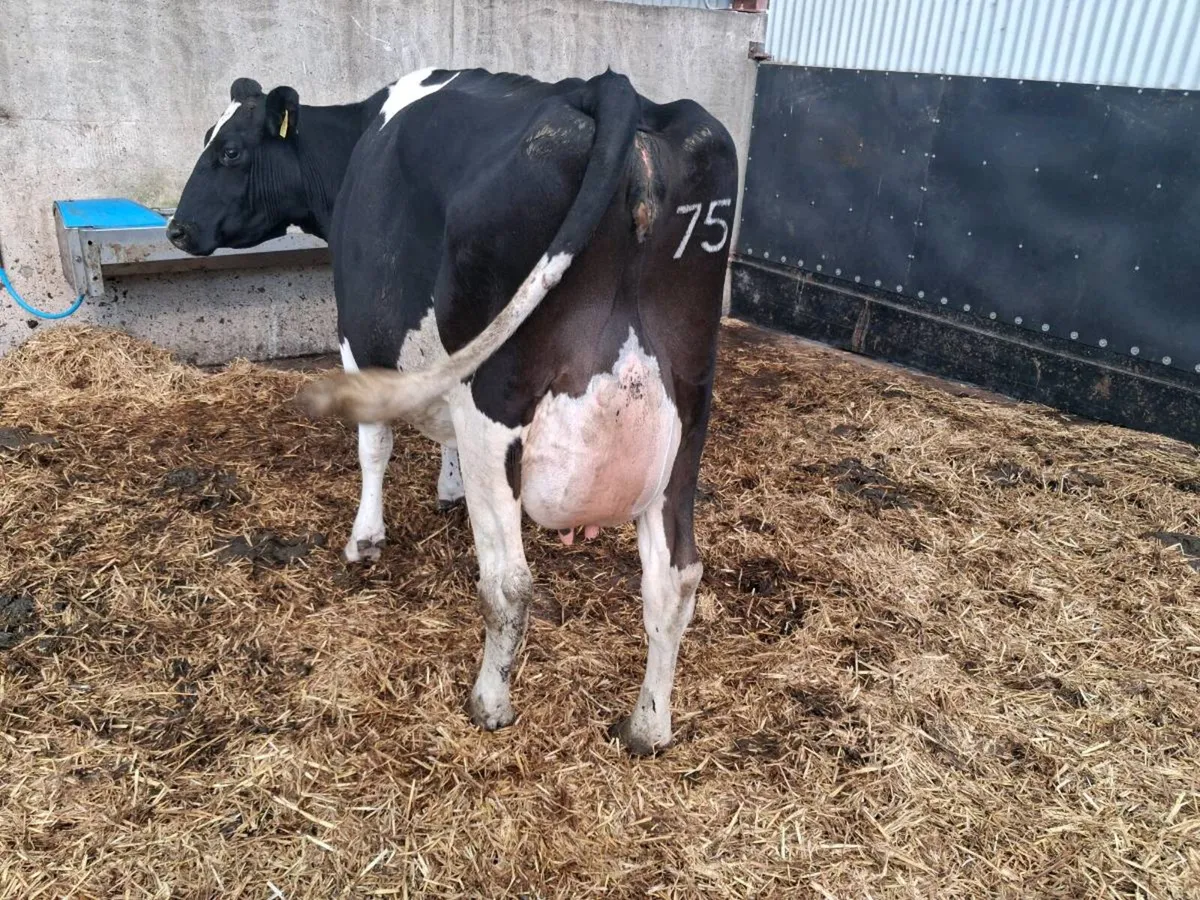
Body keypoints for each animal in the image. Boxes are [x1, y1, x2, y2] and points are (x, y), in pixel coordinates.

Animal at [168, 66, 738, 754]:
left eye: (229, 151)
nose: (176, 230)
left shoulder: (359, 338)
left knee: (509, 582)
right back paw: (648, 726)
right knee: (675, 578)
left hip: (495, 398)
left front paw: (365, 540)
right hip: (688, 406)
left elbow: (374, 446)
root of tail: (612, 87)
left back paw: (489, 702)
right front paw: (449, 486)